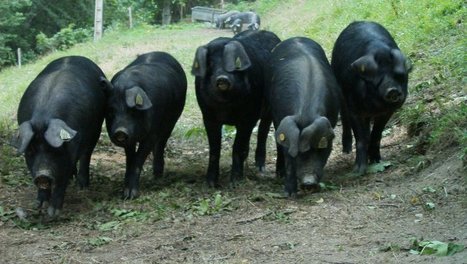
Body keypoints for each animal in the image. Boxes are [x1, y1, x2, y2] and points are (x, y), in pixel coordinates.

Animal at [14, 56, 108, 217]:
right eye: (30, 150)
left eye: (54, 149)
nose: (42, 175)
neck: (42, 119)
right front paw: (39, 206)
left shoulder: (72, 149)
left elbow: (63, 177)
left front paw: (53, 213)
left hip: (96, 127)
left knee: (86, 155)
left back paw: (82, 186)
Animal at [105, 51, 187, 199]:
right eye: (110, 111)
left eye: (133, 110)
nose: (120, 131)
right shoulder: (130, 139)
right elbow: (130, 158)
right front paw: (125, 193)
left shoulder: (152, 133)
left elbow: (139, 158)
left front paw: (131, 195)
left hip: (173, 119)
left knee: (161, 143)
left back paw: (158, 175)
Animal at [192, 29, 280, 187]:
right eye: (211, 63)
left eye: (234, 62)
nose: (222, 78)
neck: (226, 105)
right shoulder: (208, 116)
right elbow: (214, 148)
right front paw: (210, 183)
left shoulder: (248, 117)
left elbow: (237, 147)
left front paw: (235, 182)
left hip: (268, 110)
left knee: (263, 130)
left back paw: (260, 168)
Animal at [268, 37, 342, 198]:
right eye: (297, 153)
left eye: (320, 148)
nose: (308, 182)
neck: (306, 114)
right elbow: (288, 158)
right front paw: (289, 195)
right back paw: (279, 174)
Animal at [330, 21, 412, 175]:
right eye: (378, 79)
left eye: (399, 75)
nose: (392, 90)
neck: (375, 106)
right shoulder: (354, 109)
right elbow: (360, 137)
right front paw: (358, 170)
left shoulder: (388, 111)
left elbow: (377, 133)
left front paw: (376, 161)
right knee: (344, 117)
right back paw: (346, 150)